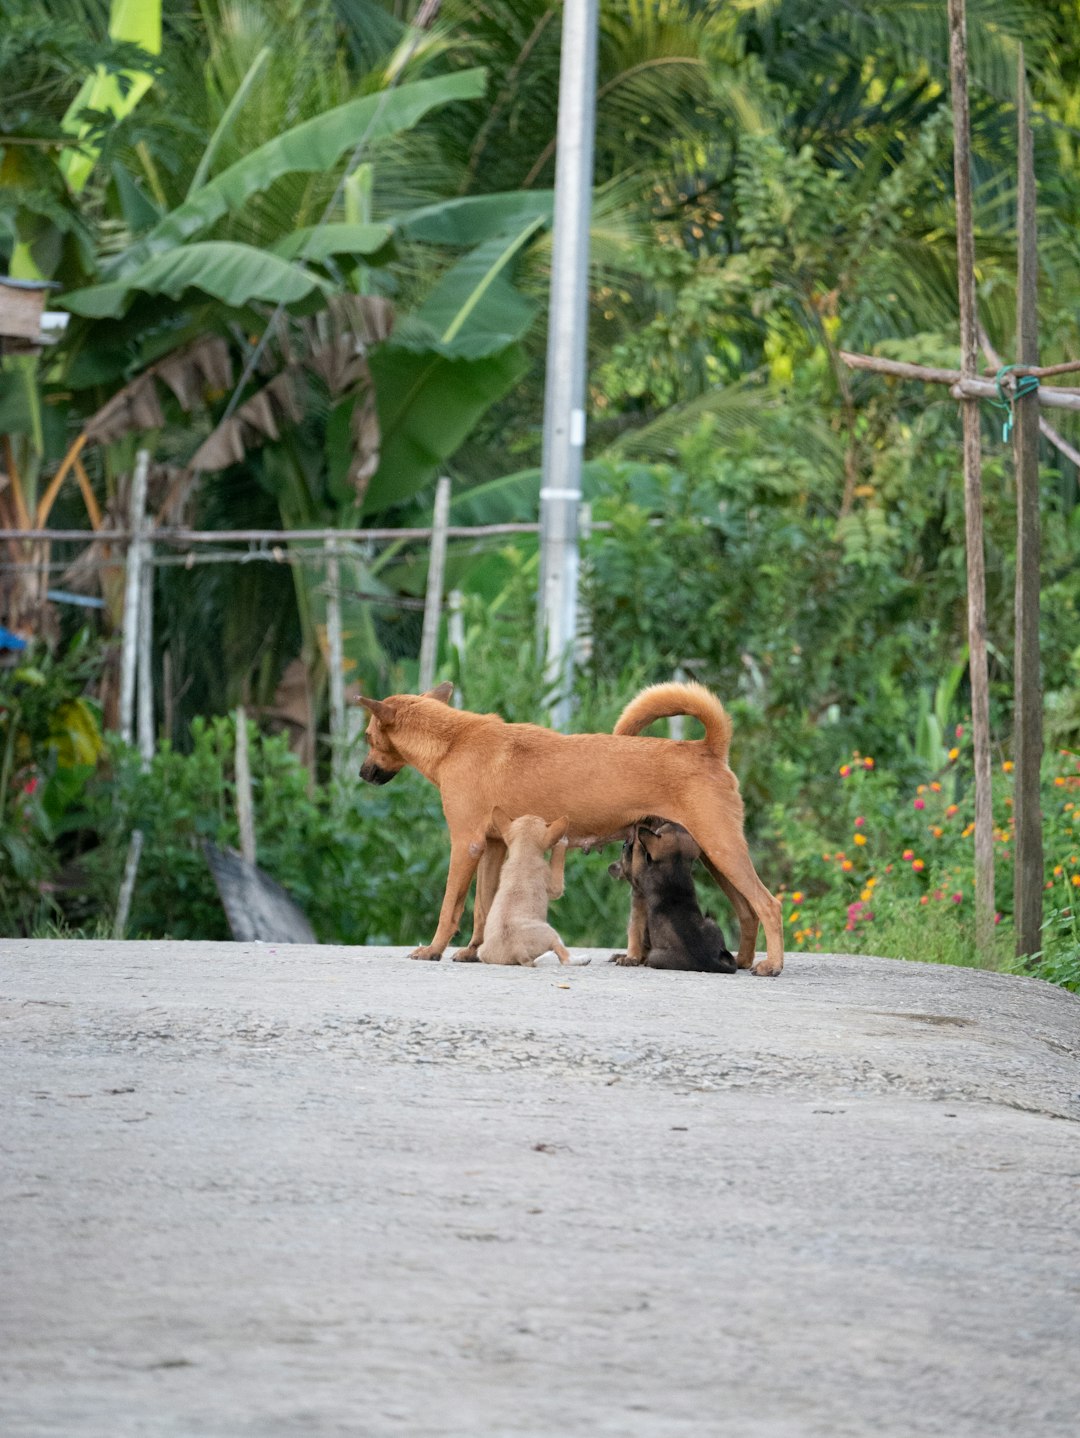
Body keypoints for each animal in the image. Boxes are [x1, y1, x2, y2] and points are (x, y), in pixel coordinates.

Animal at [474, 811, 575, 966]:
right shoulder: (554, 887)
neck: (523, 856)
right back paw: (582, 959)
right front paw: (561, 843)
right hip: (551, 932)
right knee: (564, 957)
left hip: (482, 952)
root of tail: (517, 950)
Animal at [612, 816, 742, 972]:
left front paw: (637, 830)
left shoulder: (641, 875)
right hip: (712, 923)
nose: (672, 819)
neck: (676, 866)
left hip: (656, 956)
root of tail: (708, 960)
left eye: (664, 827)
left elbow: (638, 851)